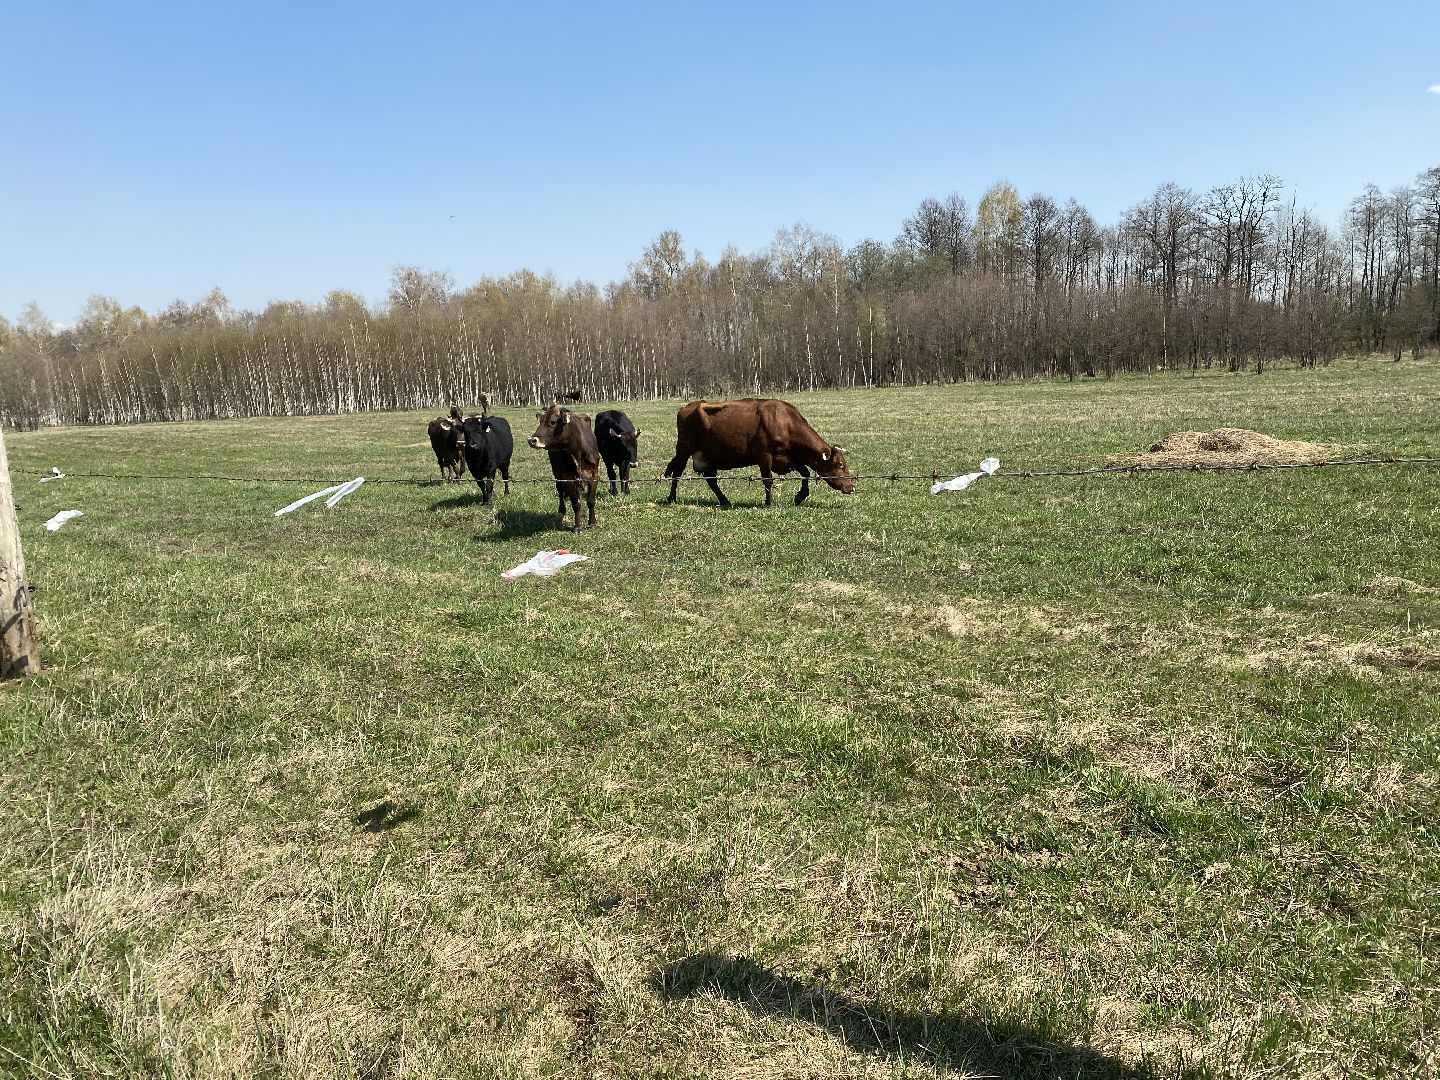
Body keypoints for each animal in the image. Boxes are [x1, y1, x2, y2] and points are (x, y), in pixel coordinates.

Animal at [663, 398, 855, 509]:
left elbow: (806, 473)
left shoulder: (791, 457)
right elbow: (768, 480)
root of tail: (689, 406)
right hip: (684, 449)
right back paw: (672, 498)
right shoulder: (764, 456)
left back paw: (725, 501)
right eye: (839, 464)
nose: (851, 487)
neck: (784, 422)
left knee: (711, 480)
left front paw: (800, 496)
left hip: (710, 456)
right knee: (677, 472)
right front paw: (769, 503)